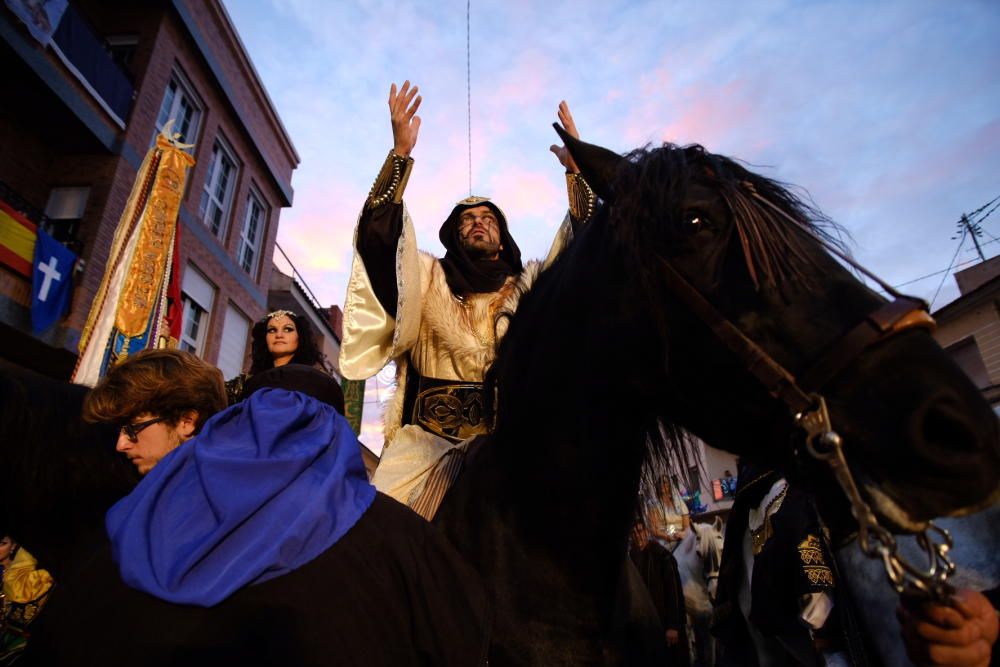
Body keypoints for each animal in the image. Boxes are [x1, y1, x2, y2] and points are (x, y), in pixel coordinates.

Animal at [676, 520, 724, 667]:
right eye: (698, 553)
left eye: (722, 548)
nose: (715, 593)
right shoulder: (687, 618)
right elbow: (690, 651)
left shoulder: (708, 617)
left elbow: (710, 655)